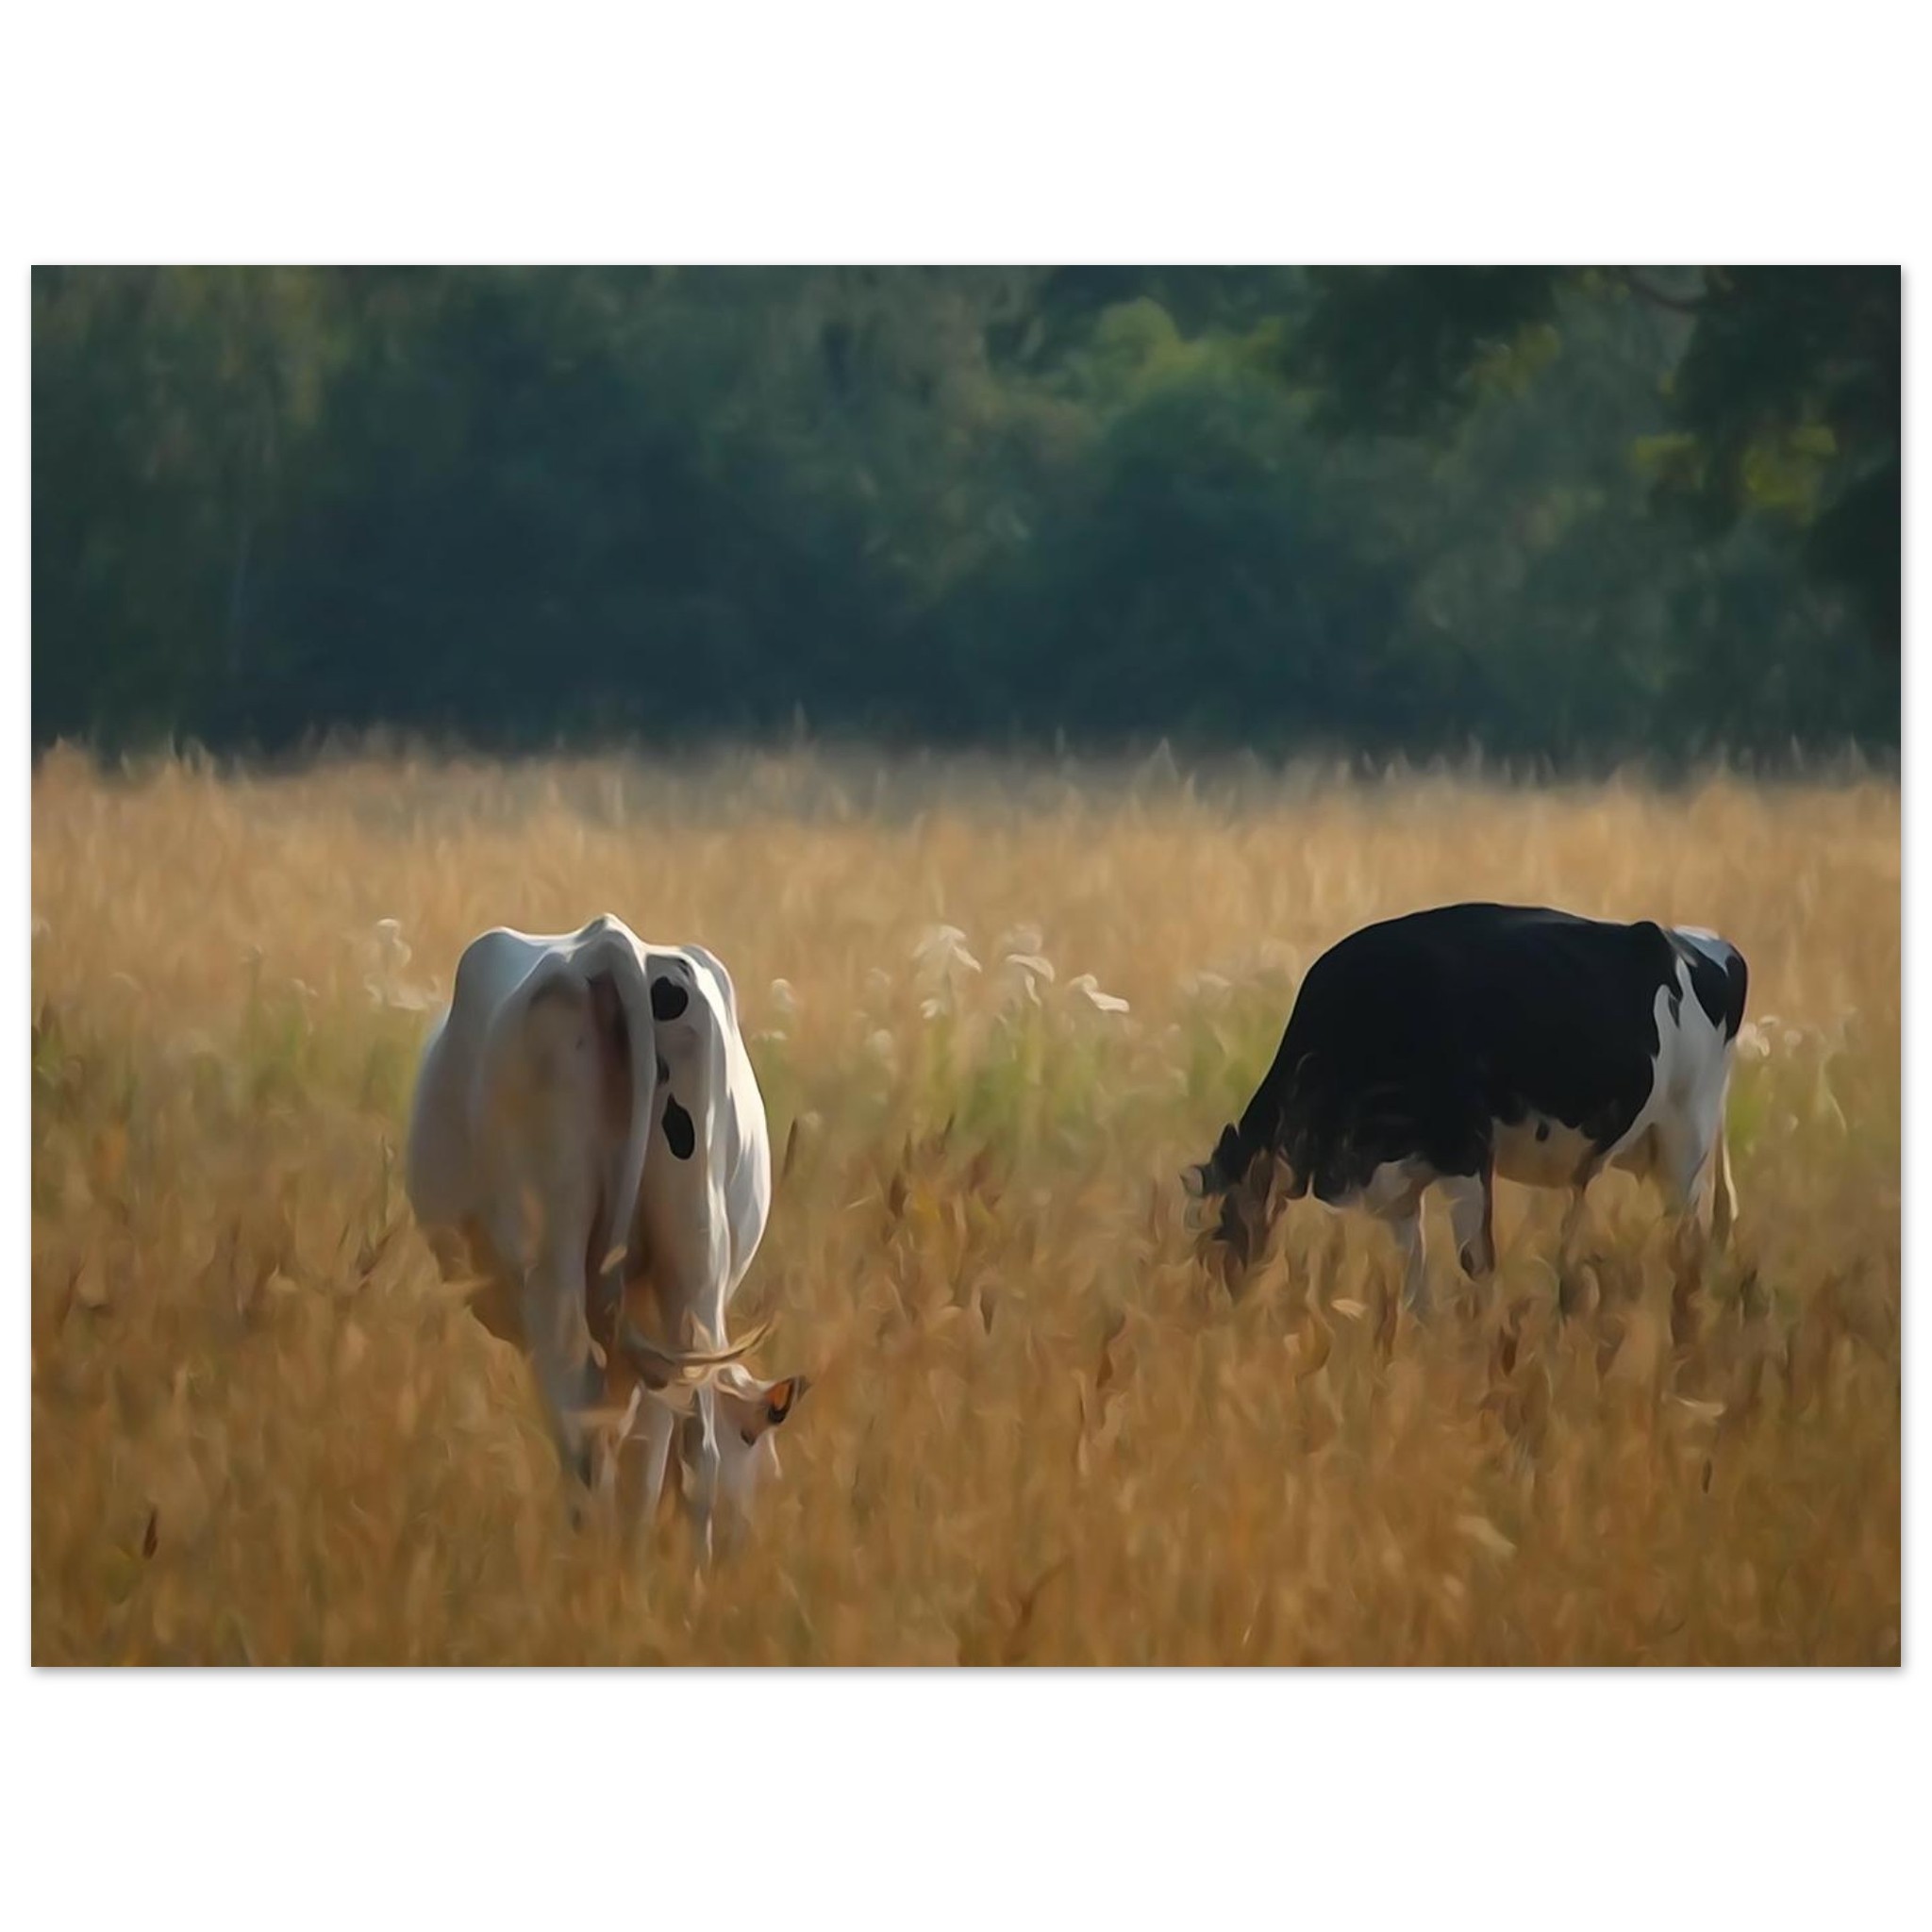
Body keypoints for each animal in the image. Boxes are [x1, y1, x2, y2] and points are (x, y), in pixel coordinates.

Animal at [405, 914, 808, 1559]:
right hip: (691, 1271)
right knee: (691, 1444)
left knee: (584, 1431)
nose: (743, 1548)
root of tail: (611, 944)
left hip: (554, 1272)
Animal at [1184, 903, 1749, 1311]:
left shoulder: (1466, 1153)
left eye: (1217, 1237)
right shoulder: (1396, 1188)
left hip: (1686, 1144)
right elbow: (1413, 1285)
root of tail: (1697, 940)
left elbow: (1477, 1264)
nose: (1214, 1318)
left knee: (1686, 1245)